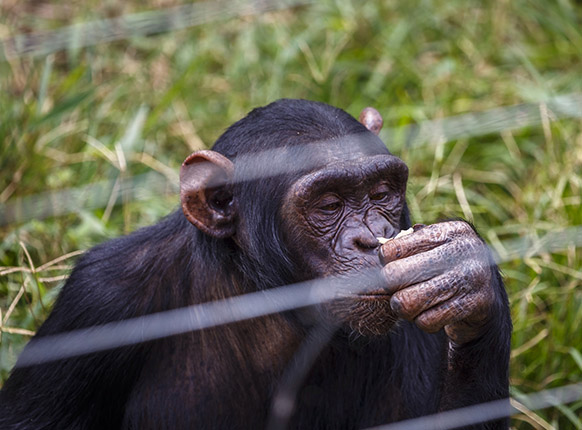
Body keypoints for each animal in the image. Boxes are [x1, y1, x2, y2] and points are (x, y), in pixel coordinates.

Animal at [0, 99, 512, 428]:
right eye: (328, 204)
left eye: (382, 192)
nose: (372, 239)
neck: (264, 296)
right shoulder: (98, 301)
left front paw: (465, 275)